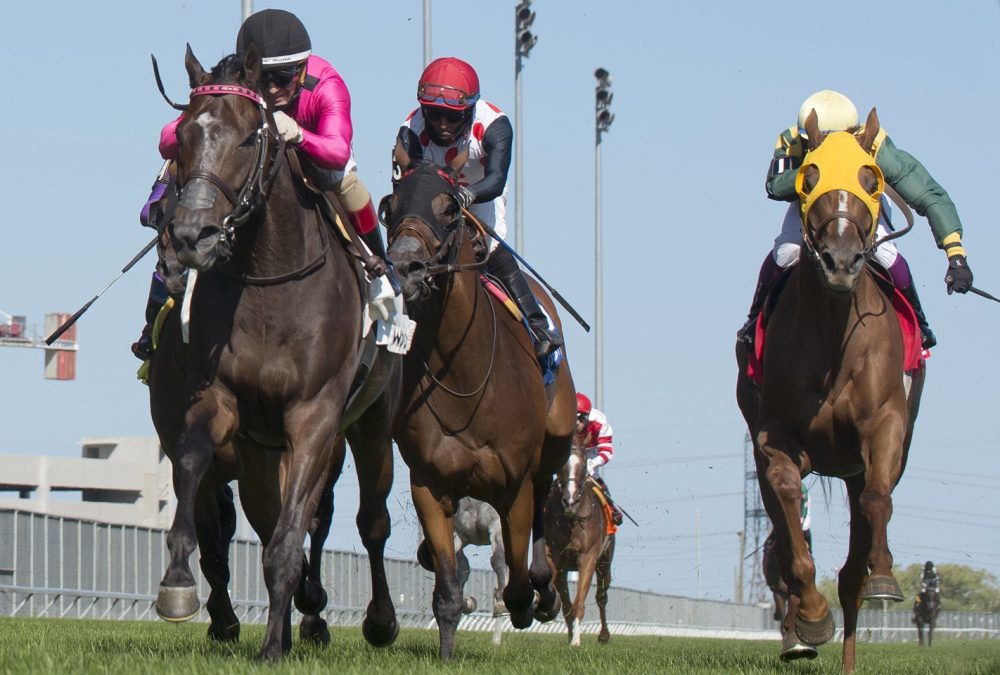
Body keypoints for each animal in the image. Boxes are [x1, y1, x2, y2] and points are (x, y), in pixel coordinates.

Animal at [148, 48, 398, 664]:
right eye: (181, 136)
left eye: (246, 139)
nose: (190, 236)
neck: (270, 277)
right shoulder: (218, 400)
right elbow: (192, 466)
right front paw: (178, 582)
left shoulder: (314, 416)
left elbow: (293, 535)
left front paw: (272, 646)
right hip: (261, 448)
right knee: (266, 519)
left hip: (371, 425)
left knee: (370, 520)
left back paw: (373, 621)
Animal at [382, 149, 576, 660]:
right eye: (390, 206)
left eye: (450, 209)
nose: (406, 267)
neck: (465, 378)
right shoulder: (430, 485)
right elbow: (448, 590)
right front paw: (449, 644)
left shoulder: (514, 487)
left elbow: (516, 583)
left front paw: (533, 599)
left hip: (557, 436)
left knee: (543, 500)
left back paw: (545, 592)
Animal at [544, 446, 612, 648]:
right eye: (560, 465)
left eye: (582, 467)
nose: (570, 500)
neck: (571, 519)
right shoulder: (553, 554)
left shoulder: (587, 556)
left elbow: (579, 601)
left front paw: (576, 640)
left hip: (604, 561)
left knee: (601, 597)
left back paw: (604, 635)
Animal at [736, 108, 928, 672]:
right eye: (809, 176)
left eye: (871, 178)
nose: (841, 261)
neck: (832, 336)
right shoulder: (773, 438)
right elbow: (786, 515)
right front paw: (811, 616)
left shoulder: (885, 425)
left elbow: (878, 499)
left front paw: (884, 577)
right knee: (784, 539)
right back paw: (801, 629)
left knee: (854, 555)